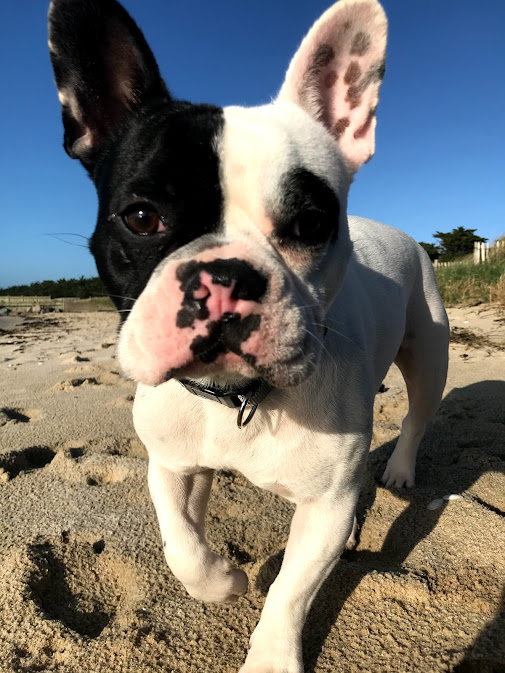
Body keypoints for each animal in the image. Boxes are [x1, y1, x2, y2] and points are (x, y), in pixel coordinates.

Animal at [48, 0, 449, 670]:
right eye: (141, 217)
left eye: (311, 224)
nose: (226, 275)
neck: (236, 398)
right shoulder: (170, 462)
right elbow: (181, 541)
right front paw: (224, 581)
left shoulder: (326, 505)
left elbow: (291, 588)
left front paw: (270, 656)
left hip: (429, 351)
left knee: (418, 415)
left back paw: (397, 470)